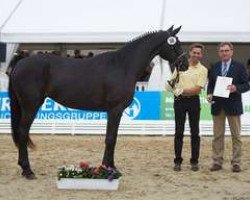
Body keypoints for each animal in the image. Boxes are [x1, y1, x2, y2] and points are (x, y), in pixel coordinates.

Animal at [8, 25, 188, 180]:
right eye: (175, 44)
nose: (185, 64)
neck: (122, 65)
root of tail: (19, 64)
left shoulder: (115, 111)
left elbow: (112, 138)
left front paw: (111, 167)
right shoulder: (115, 110)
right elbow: (110, 139)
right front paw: (108, 168)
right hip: (30, 106)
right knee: (22, 133)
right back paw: (28, 170)